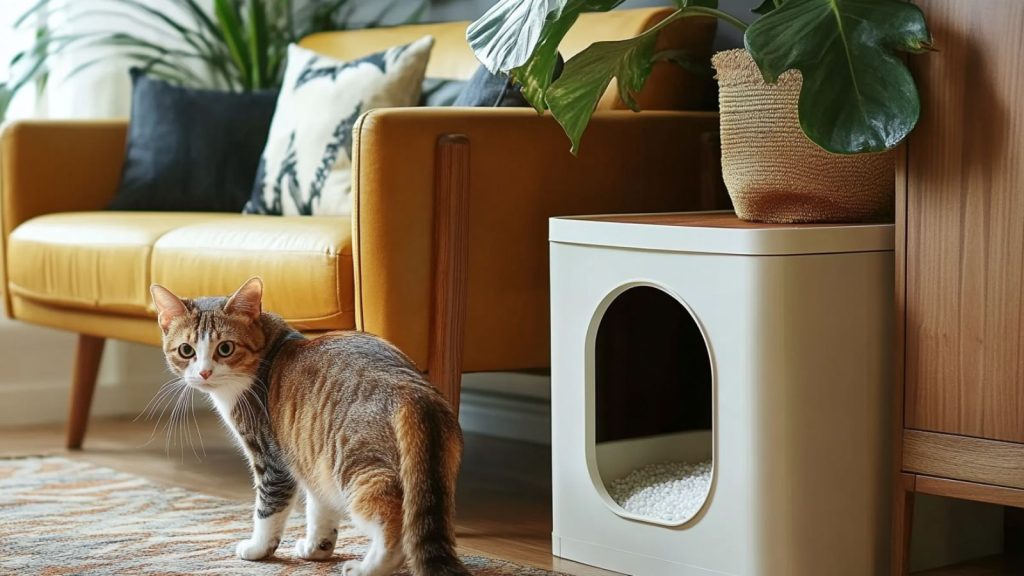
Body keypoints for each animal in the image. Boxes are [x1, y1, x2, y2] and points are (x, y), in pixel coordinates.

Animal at [149, 276, 468, 569]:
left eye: (225, 348)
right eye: (186, 350)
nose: (204, 373)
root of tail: (412, 389)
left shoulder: (272, 458)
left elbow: (267, 509)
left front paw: (258, 548)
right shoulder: (310, 453)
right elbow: (319, 507)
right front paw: (318, 547)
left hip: (359, 466)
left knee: (394, 527)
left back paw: (368, 567)